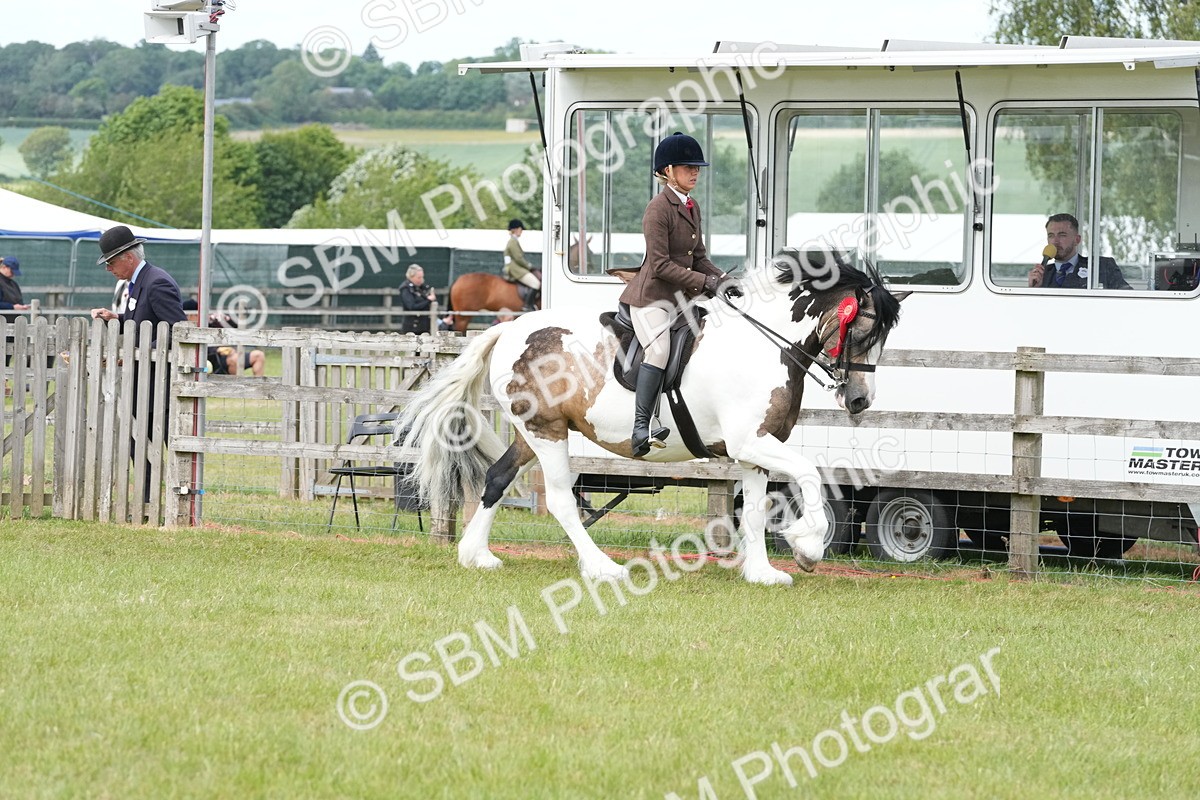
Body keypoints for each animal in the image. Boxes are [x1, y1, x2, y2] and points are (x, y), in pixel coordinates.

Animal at [398, 253, 905, 586]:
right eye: (862, 330)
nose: (859, 401)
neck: (762, 343)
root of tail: (508, 328)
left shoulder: (755, 451)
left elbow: (757, 510)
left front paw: (763, 572)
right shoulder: (750, 442)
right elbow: (810, 473)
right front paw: (807, 546)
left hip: (531, 432)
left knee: (498, 477)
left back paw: (476, 556)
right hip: (547, 433)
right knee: (560, 500)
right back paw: (603, 567)